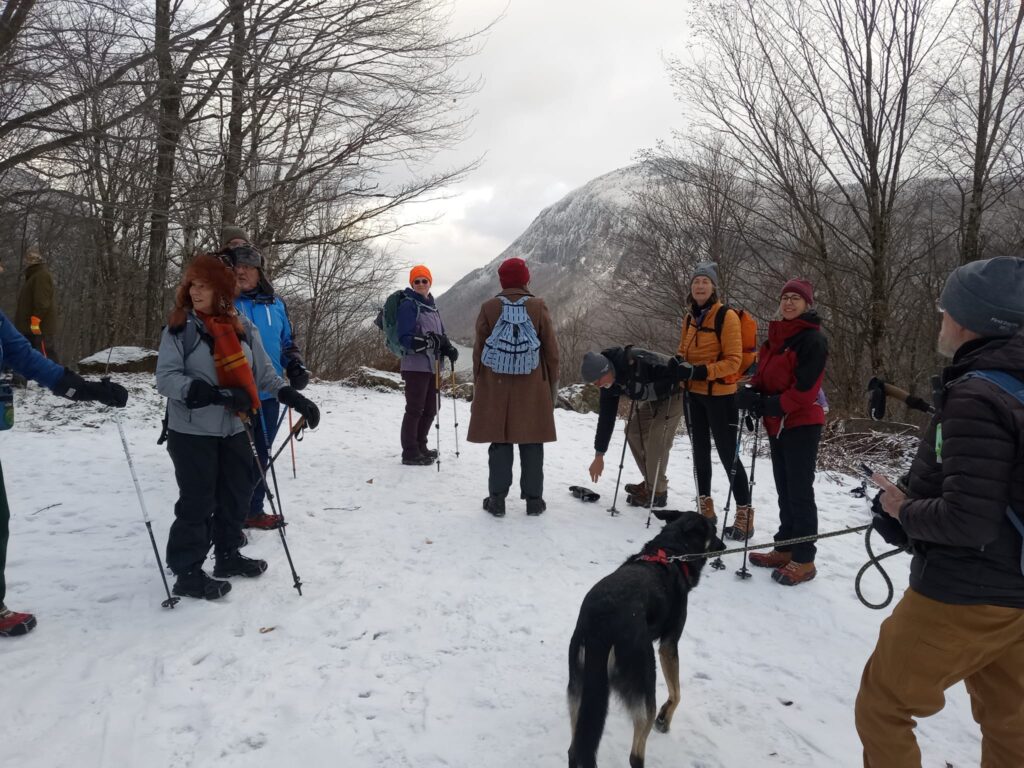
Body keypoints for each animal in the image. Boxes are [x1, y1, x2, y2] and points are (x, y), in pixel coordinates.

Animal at [569, 512, 720, 768]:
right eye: (715, 529)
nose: (724, 546)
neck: (671, 550)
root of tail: (601, 628)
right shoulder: (669, 645)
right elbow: (677, 692)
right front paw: (664, 720)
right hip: (645, 679)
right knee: (635, 755)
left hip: (578, 687)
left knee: (574, 750)